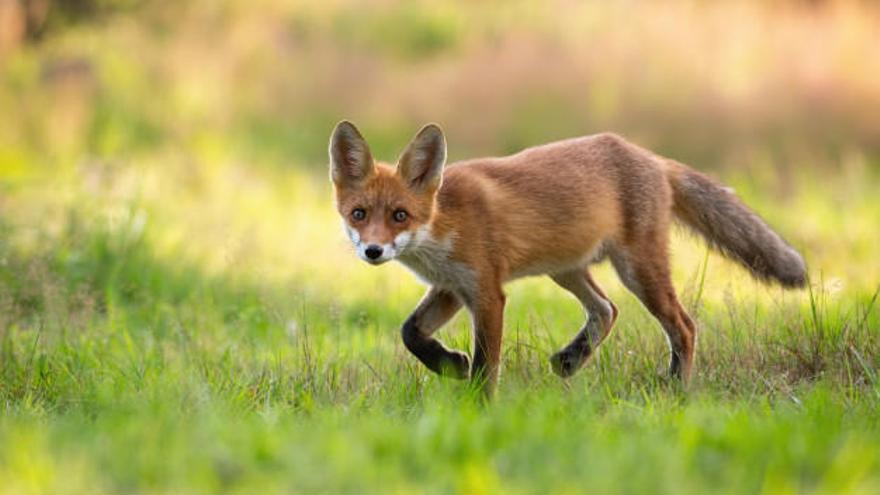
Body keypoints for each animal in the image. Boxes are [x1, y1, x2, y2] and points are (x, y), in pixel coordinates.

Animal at [328, 121, 804, 400]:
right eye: (359, 214)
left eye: (399, 215)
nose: (373, 251)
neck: (443, 224)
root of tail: (649, 156)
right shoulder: (452, 287)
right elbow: (411, 333)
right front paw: (450, 365)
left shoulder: (486, 292)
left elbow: (486, 365)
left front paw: (479, 408)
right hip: (567, 269)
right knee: (607, 309)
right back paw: (572, 359)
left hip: (638, 269)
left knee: (683, 326)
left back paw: (675, 391)